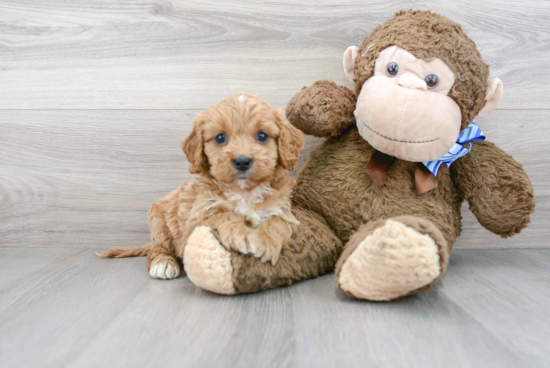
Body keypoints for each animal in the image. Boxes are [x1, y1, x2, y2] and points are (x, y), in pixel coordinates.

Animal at [99, 94, 306, 278]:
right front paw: (242, 235)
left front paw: (266, 241)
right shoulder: (198, 216)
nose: (242, 161)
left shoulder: (283, 210)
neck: (244, 192)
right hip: (158, 223)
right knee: (156, 250)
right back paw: (163, 264)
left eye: (262, 136)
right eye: (220, 138)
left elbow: (278, 222)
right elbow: (222, 215)